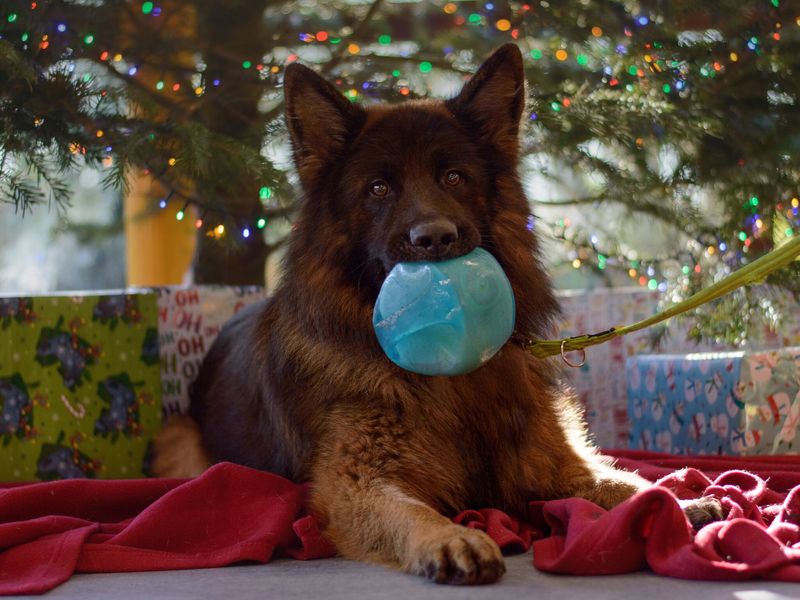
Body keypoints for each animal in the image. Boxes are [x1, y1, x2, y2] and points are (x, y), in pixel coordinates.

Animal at [153, 43, 720, 584]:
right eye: (378, 188)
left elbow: (625, 481)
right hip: (179, 438)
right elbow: (408, 509)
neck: (451, 379)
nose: (436, 238)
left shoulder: (556, 462)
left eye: (452, 177)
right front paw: (449, 537)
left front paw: (677, 500)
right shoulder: (355, 484)